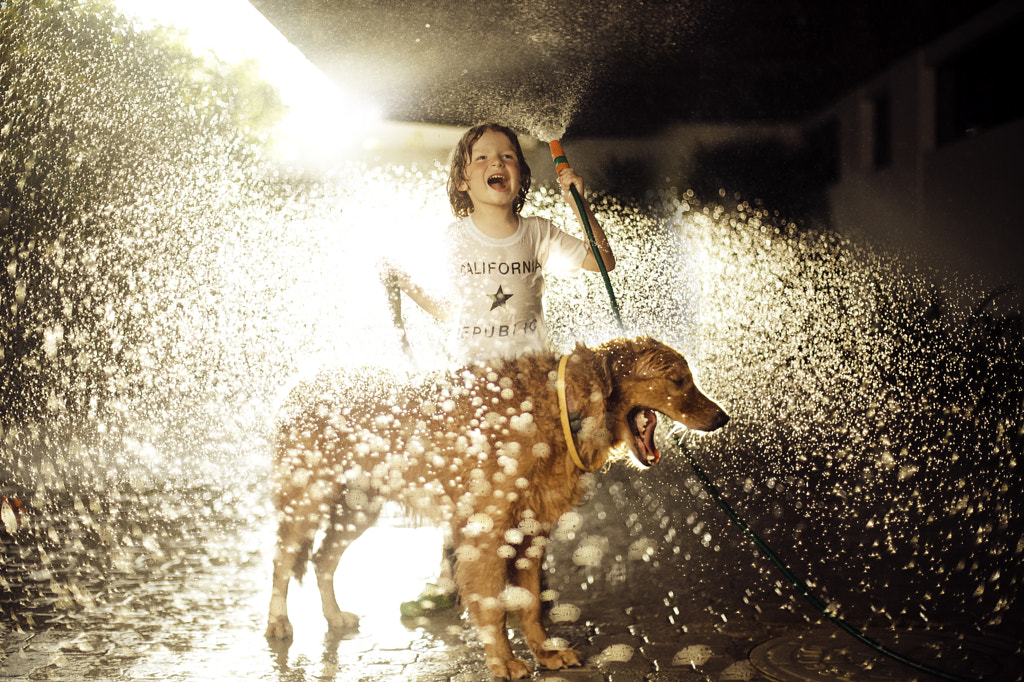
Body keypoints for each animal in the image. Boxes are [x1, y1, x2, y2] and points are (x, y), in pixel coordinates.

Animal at [264, 333, 729, 675]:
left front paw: (544, 652)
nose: (722, 418)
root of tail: (300, 383)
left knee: (322, 559)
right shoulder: (485, 532)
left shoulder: (531, 533)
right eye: (678, 381)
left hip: (358, 507)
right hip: (306, 500)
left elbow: (529, 604)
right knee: (283, 562)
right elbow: (492, 605)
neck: (562, 408)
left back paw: (333, 614)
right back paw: (278, 623)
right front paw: (503, 661)